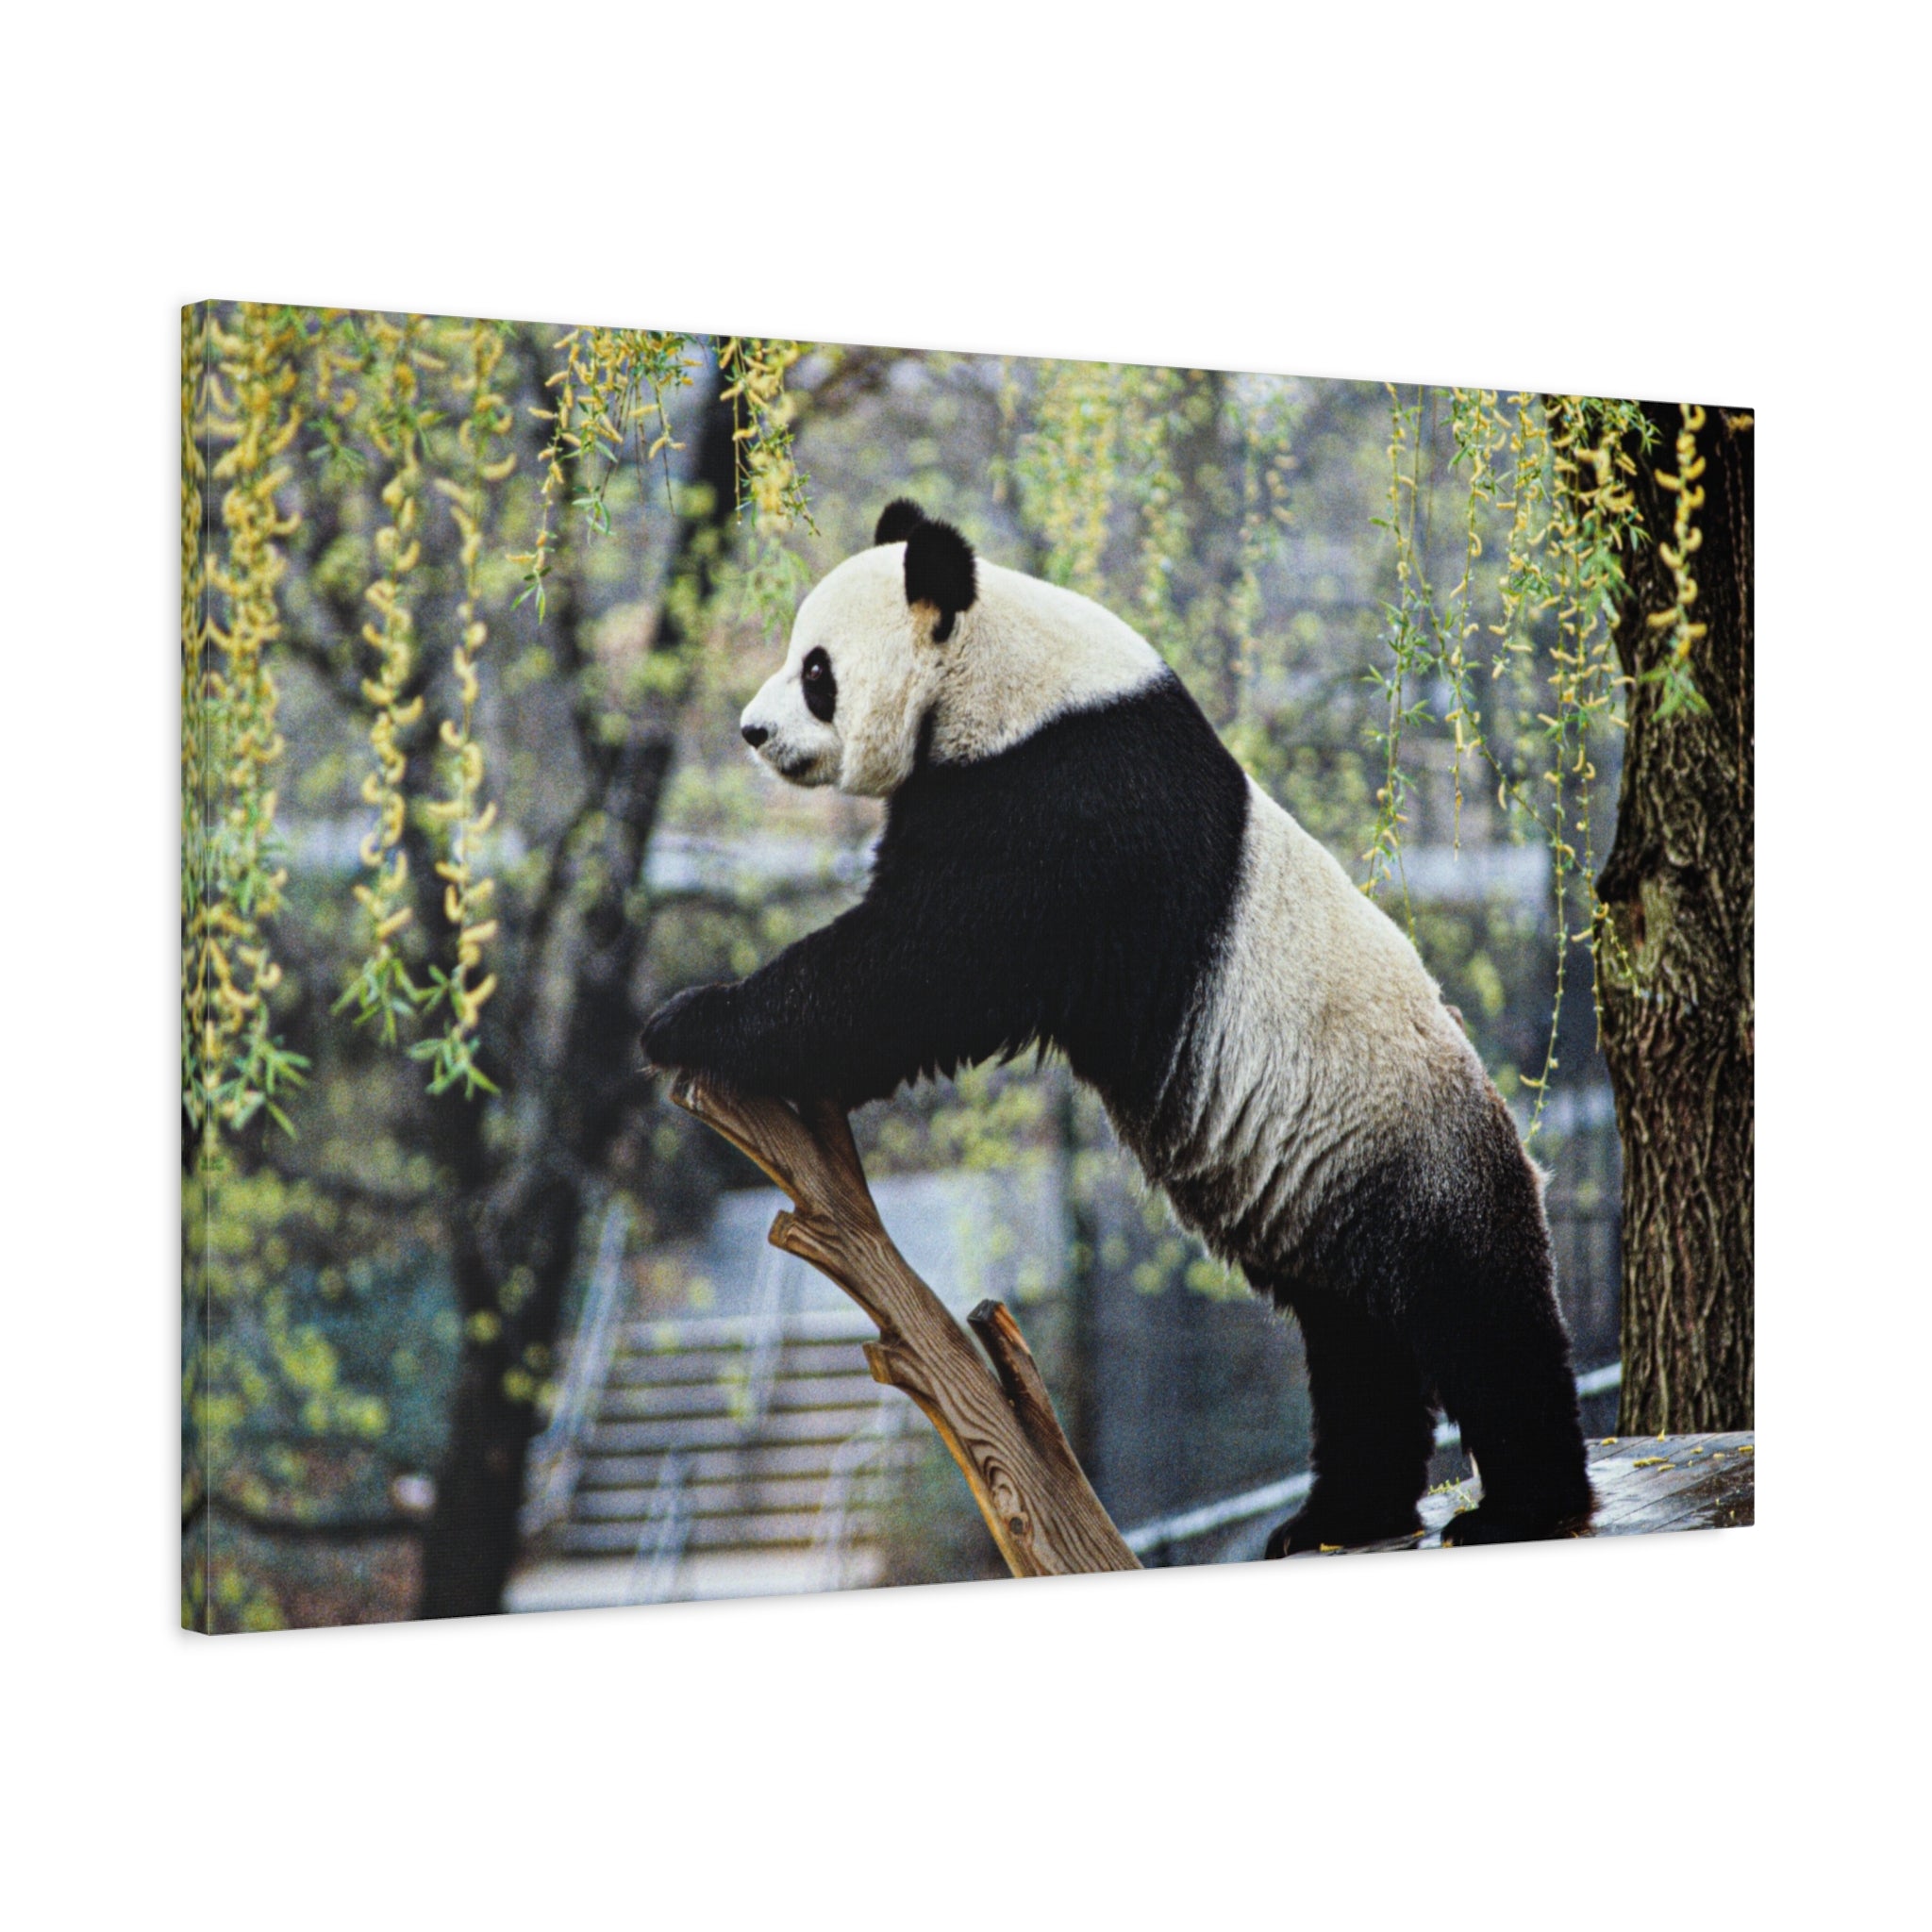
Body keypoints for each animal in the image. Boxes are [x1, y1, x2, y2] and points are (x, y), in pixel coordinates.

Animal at [643, 498, 1593, 1552]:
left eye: (817, 670)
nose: (752, 729)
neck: (1005, 673)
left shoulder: (1064, 801)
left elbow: (920, 967)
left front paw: (692, 1020)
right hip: (1334, 1189)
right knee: (1355, 1344)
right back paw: (1339, 1514)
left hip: (1414, 1156)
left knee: (1478, 1318)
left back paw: (1521, 1505)